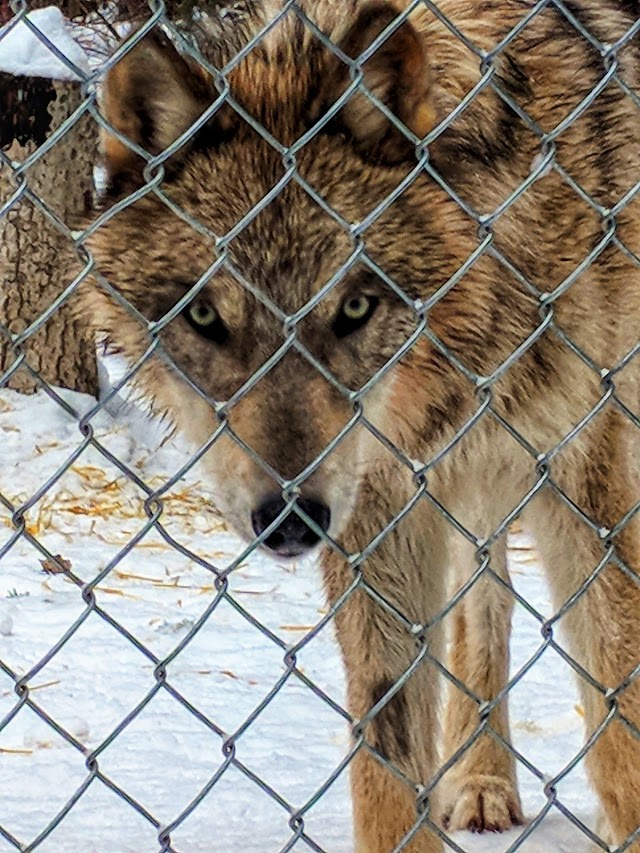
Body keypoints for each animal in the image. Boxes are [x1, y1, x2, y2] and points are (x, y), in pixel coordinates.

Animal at [81, 0, 640, 850]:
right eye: (206, 317)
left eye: (353, 307)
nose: (288, 519)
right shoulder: (379, 507)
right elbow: (387, 754)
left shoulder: (582, 465)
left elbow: (619, 695)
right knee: (484, 600)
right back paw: (481, 780)